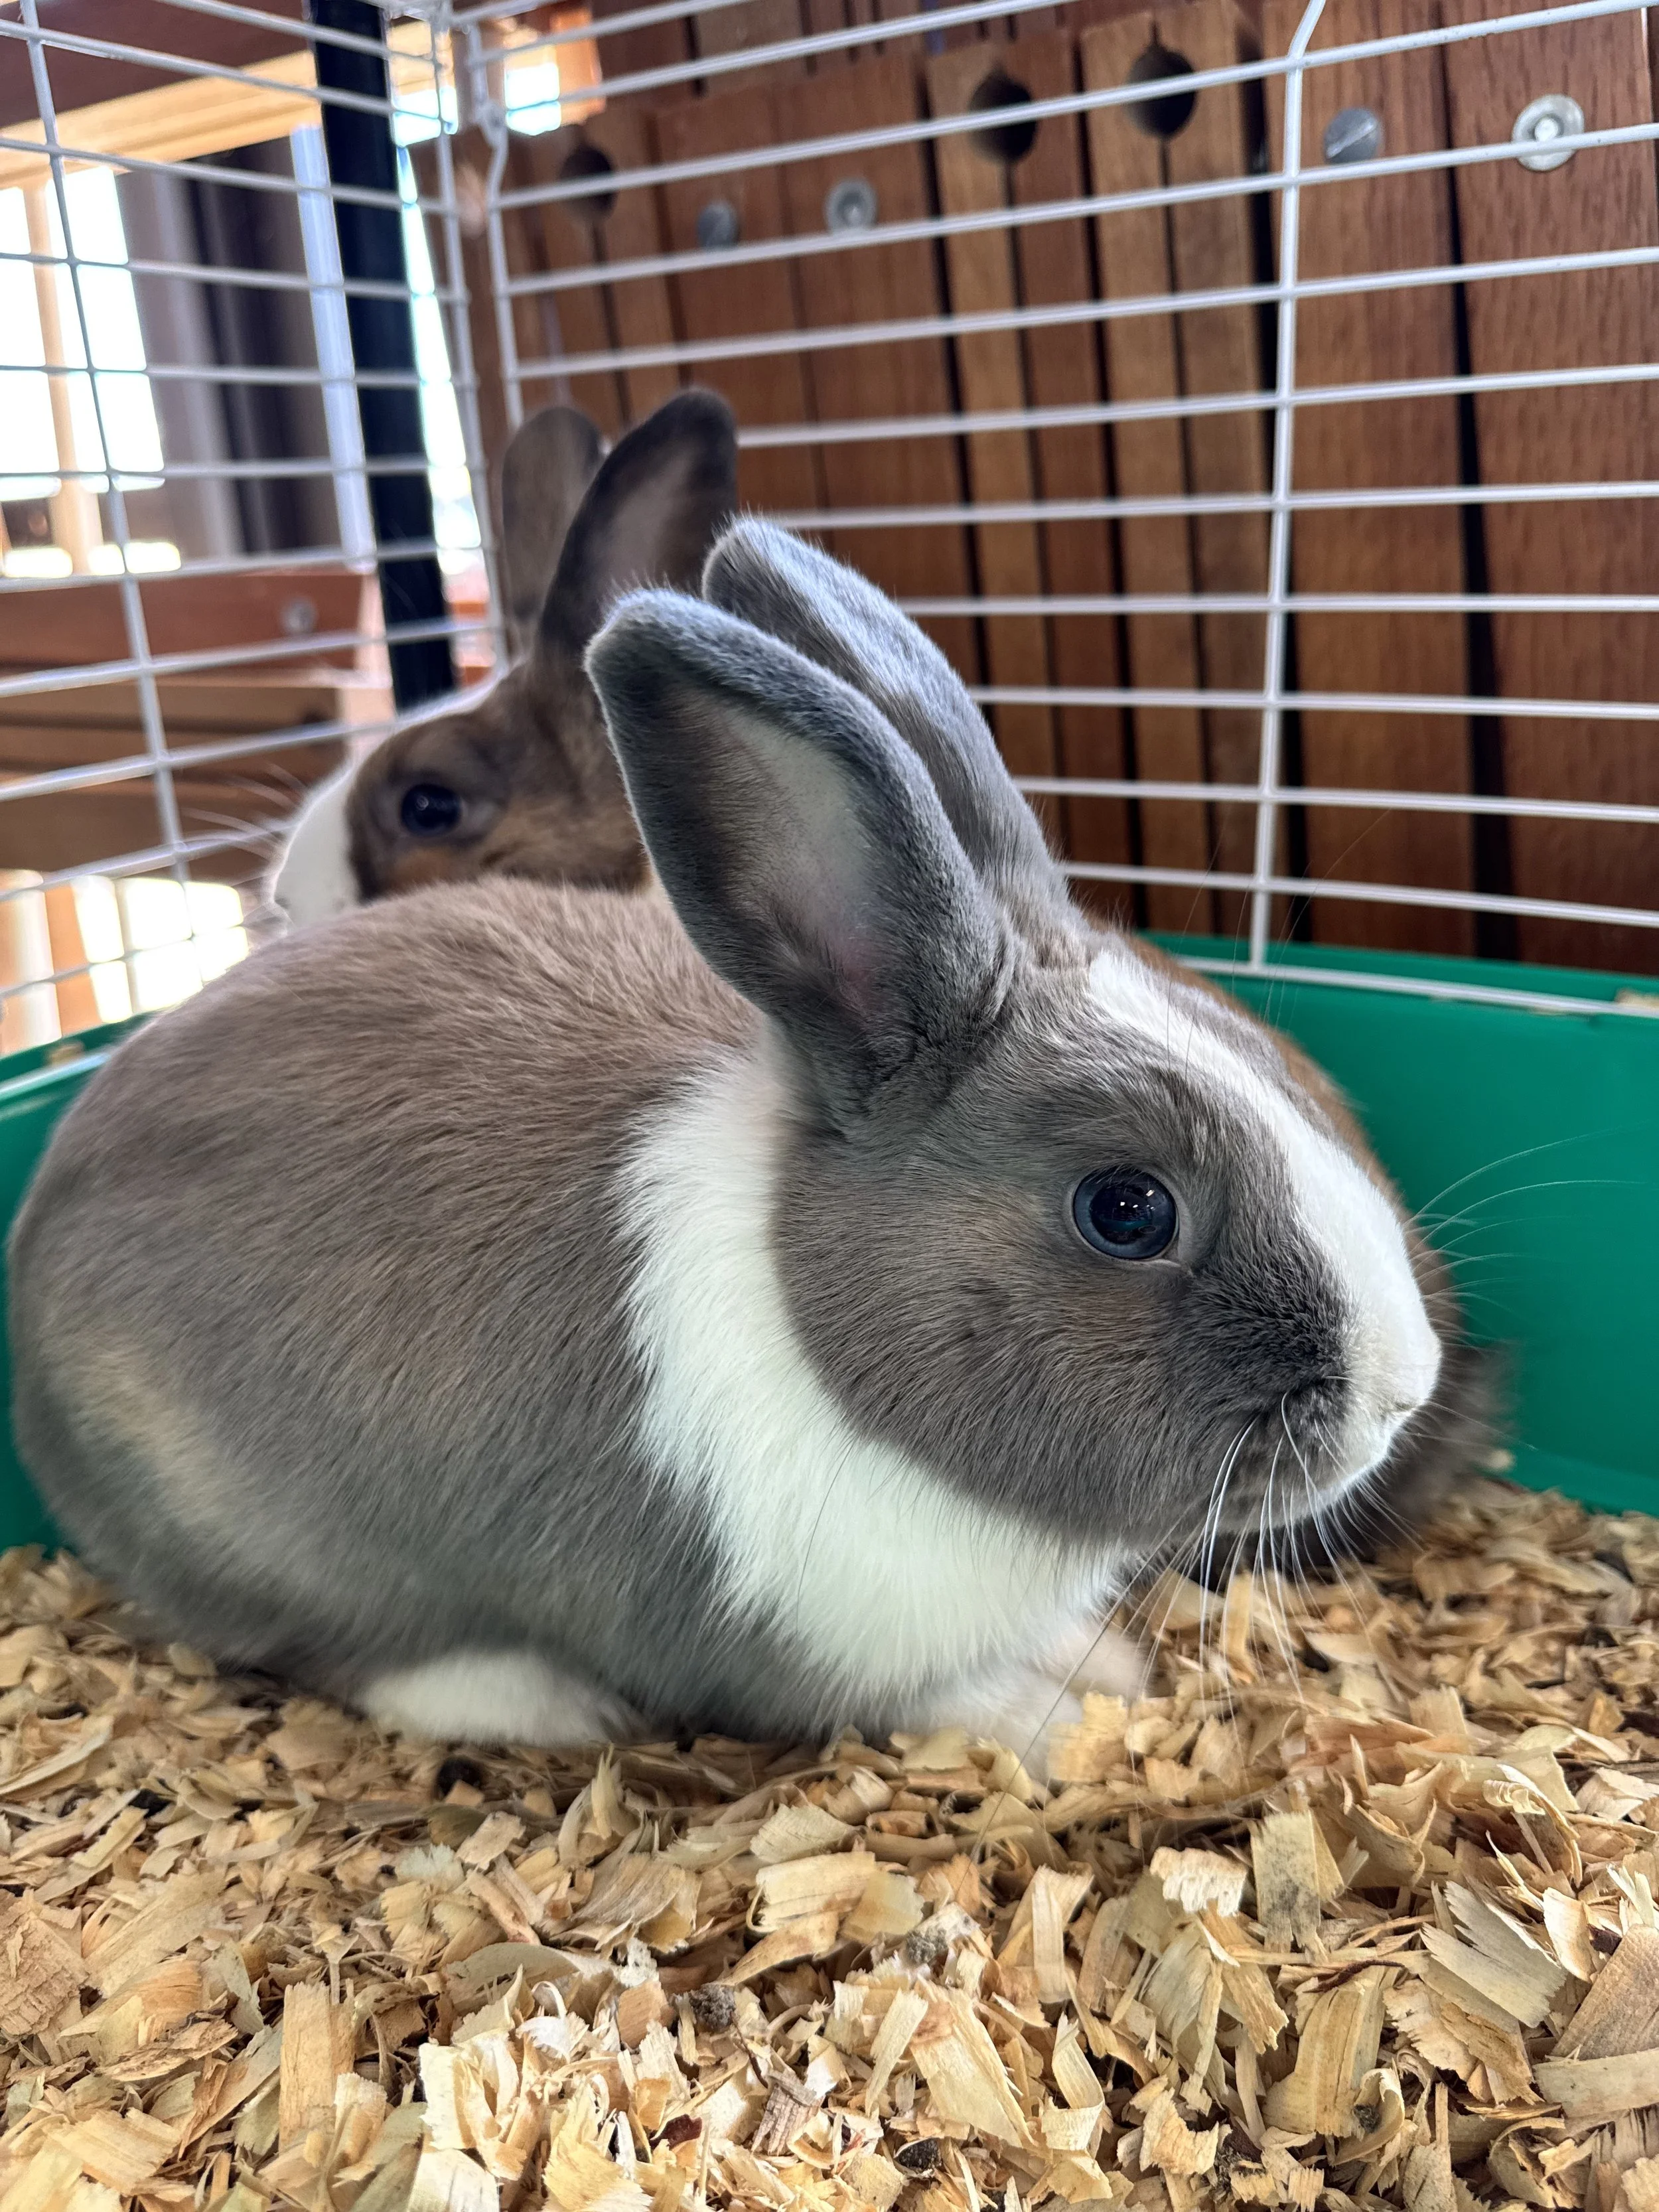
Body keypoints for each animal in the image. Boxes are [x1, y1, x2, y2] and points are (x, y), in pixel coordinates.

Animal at [9, 520, 1476, 1764]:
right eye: (1125, 1208)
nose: (1397, 1389)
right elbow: (928, 1692)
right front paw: (1057, 1714)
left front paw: (1103, 1665)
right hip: (261, 1532)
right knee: (343, 1645)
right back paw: (535, 1699)